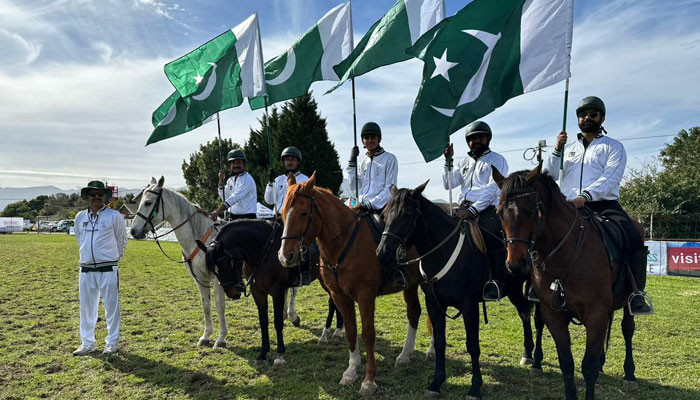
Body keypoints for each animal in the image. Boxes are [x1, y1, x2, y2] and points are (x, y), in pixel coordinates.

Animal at [130, 177, 300, 348]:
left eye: (148, 202)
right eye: (140, 202)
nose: (133, 231)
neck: (200, 239)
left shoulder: (218, 279)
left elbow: (219, 306)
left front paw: (221, 338)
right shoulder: (199, 279)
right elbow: (206, 305)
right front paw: (206, 336)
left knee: (293, 289)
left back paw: (292, 315)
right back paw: (285, 314)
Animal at [197, 219, 344, 368]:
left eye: (227, 264)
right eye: (213, 270)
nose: (232, 292)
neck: (263, 251)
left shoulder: (277, 292)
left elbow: (278, 322)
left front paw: (279, 356)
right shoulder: (258, 292)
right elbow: (263, 322)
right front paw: (262, 354)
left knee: (333, 303)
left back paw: (328, 334)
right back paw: (336, 331)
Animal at [278, 173, 422, 396]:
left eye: (303, 213)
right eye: (283, 213)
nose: (285, 256)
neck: (345, 243)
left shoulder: (365, 296)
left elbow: (368, 334)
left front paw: (369, 380)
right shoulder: (340, 296)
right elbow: (351, 330)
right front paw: (351, 371)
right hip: (411, 286)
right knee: (415, 312)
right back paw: (405, 355)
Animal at [378, 183, 548, 398]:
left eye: (407, 214)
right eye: (384, 214)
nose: (382, 253)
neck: (443, 251)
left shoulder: (469, 306)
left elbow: (473, 346)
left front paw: (475, 387)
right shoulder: (434, 303)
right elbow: (440, 342)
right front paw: (435, 383)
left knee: (538, 319)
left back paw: (537, 363)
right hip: (514, 289)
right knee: (524, 312)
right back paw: (527, 354)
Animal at [494, 163, 644, 400]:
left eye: (531, 211)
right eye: (499, 213)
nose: (516, 264)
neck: (567, 252)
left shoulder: (596, 314)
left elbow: (588, 367)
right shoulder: (554, 315)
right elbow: (567, 363)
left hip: (628, 303)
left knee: (627, 329)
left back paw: (630, 375)